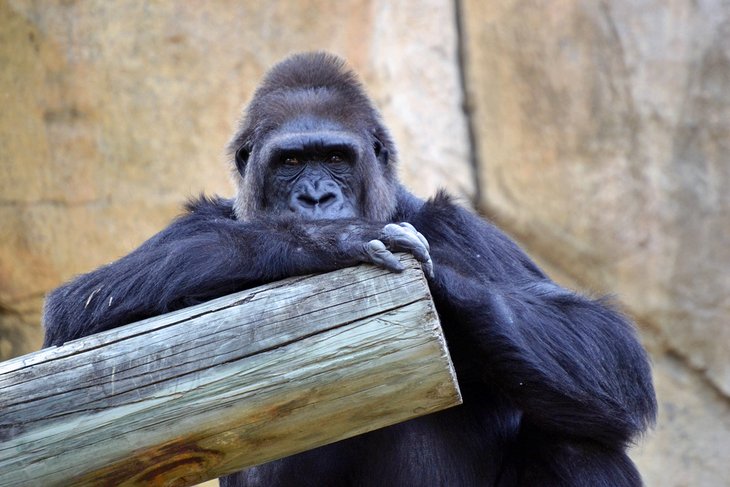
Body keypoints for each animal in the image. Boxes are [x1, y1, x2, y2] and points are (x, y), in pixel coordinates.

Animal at [42, 51, 656, 486]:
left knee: (578, 442)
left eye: (336, 158)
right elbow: (79, 321)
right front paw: (330, 241)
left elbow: (606, 342)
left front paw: (448, 286)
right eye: (291, 162)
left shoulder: (462, 227)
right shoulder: (197, 222)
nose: (317, 198)